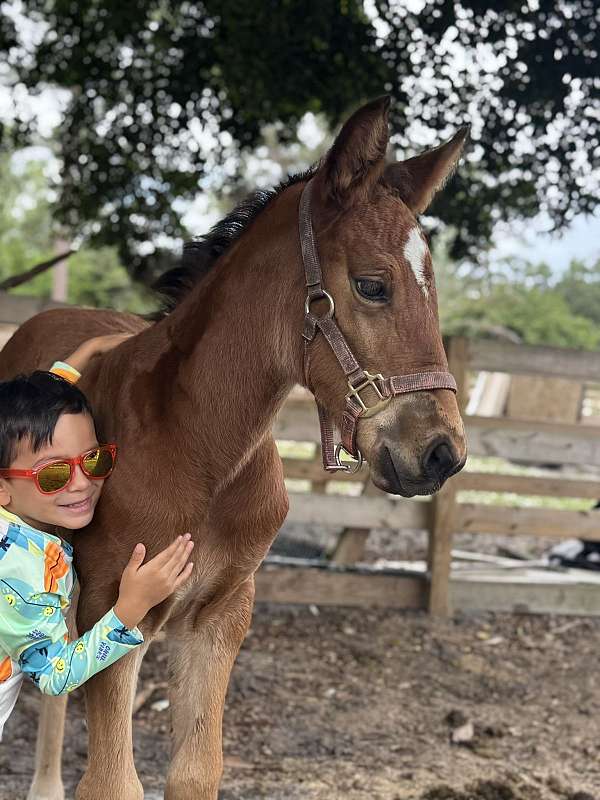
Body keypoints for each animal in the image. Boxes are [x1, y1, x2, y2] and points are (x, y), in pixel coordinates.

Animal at [0, 96, 468, 800]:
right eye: (372, 285)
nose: (442, 452)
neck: (204, 453)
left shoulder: (222, 614)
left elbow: (196, 772)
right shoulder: (115, 602)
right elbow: (113, 780)